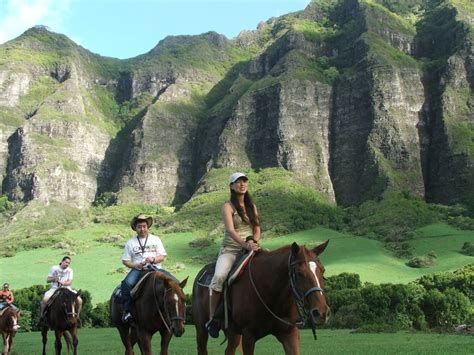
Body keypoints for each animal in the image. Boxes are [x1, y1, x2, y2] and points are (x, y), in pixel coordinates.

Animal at [193, 241, 330, 354]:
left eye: (322, 270)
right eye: (299, 273)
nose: (321, 312)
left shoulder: (290, 334)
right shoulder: (248, 336)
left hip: (233, 333)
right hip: (201, 329)